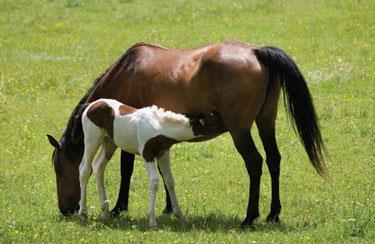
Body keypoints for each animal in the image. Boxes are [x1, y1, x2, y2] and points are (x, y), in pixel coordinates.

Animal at [78, 97, 222, 227]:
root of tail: (90, 105)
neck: (159, 126)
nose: (226, 125)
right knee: (85, 170)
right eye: (214, 119)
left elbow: (169, 181)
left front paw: (180, 216)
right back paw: (83, 213)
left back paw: (105, 213)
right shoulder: (147, 155)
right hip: (92, 140)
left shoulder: (163, 154)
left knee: (98, 167)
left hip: (109, 143)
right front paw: (152, 221)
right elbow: (154, 182)